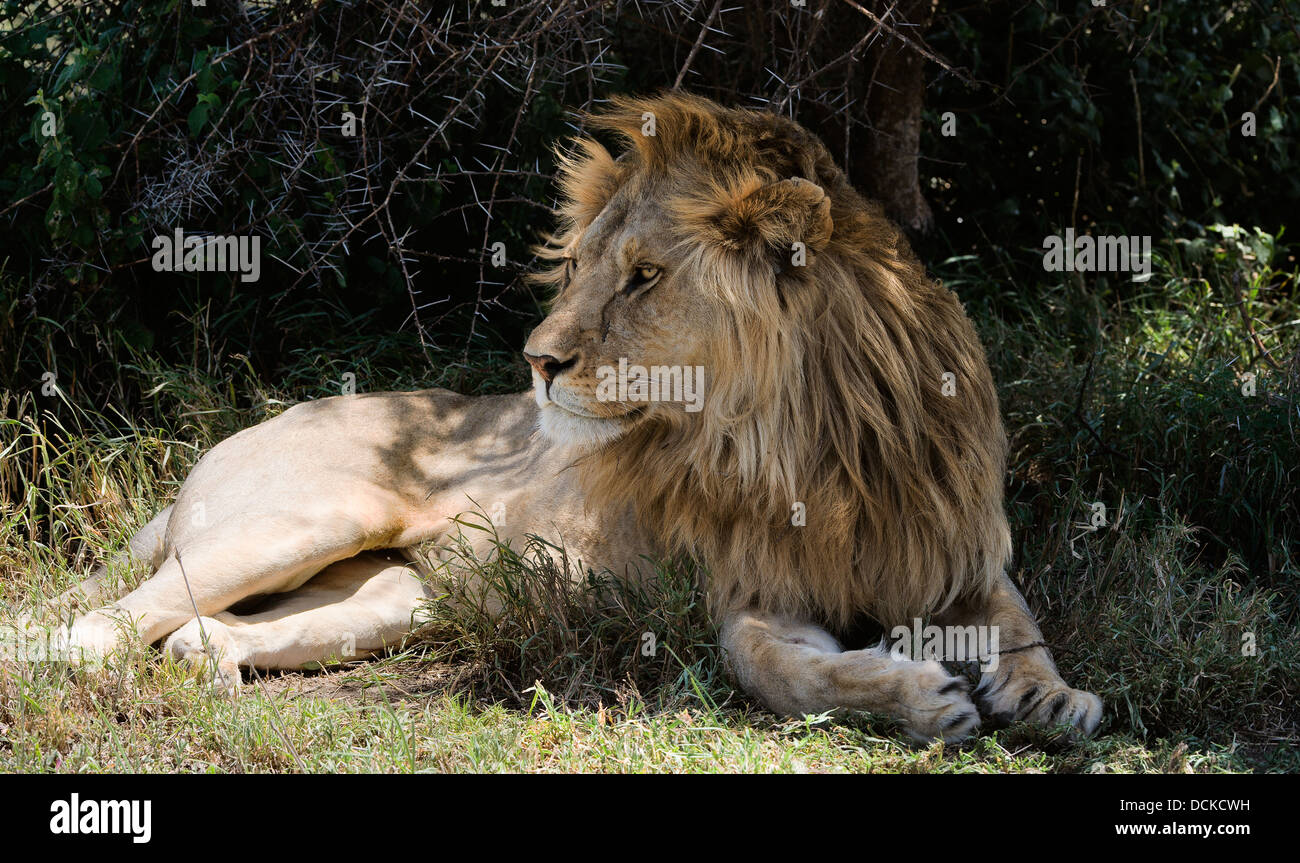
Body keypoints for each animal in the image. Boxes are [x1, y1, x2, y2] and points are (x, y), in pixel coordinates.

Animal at [28, 93, 1101, 742]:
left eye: (645, 276)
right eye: (580, 264)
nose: (538, 362)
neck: (806, 440)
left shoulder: (952, 544)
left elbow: (1020, 620)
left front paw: (1052, 696)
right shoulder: (749, 588)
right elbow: (768, 666)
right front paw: (923, 700)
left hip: (394, 596)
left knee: (198, 633)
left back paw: (210, 675)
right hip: (304, 520)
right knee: (83, 626)